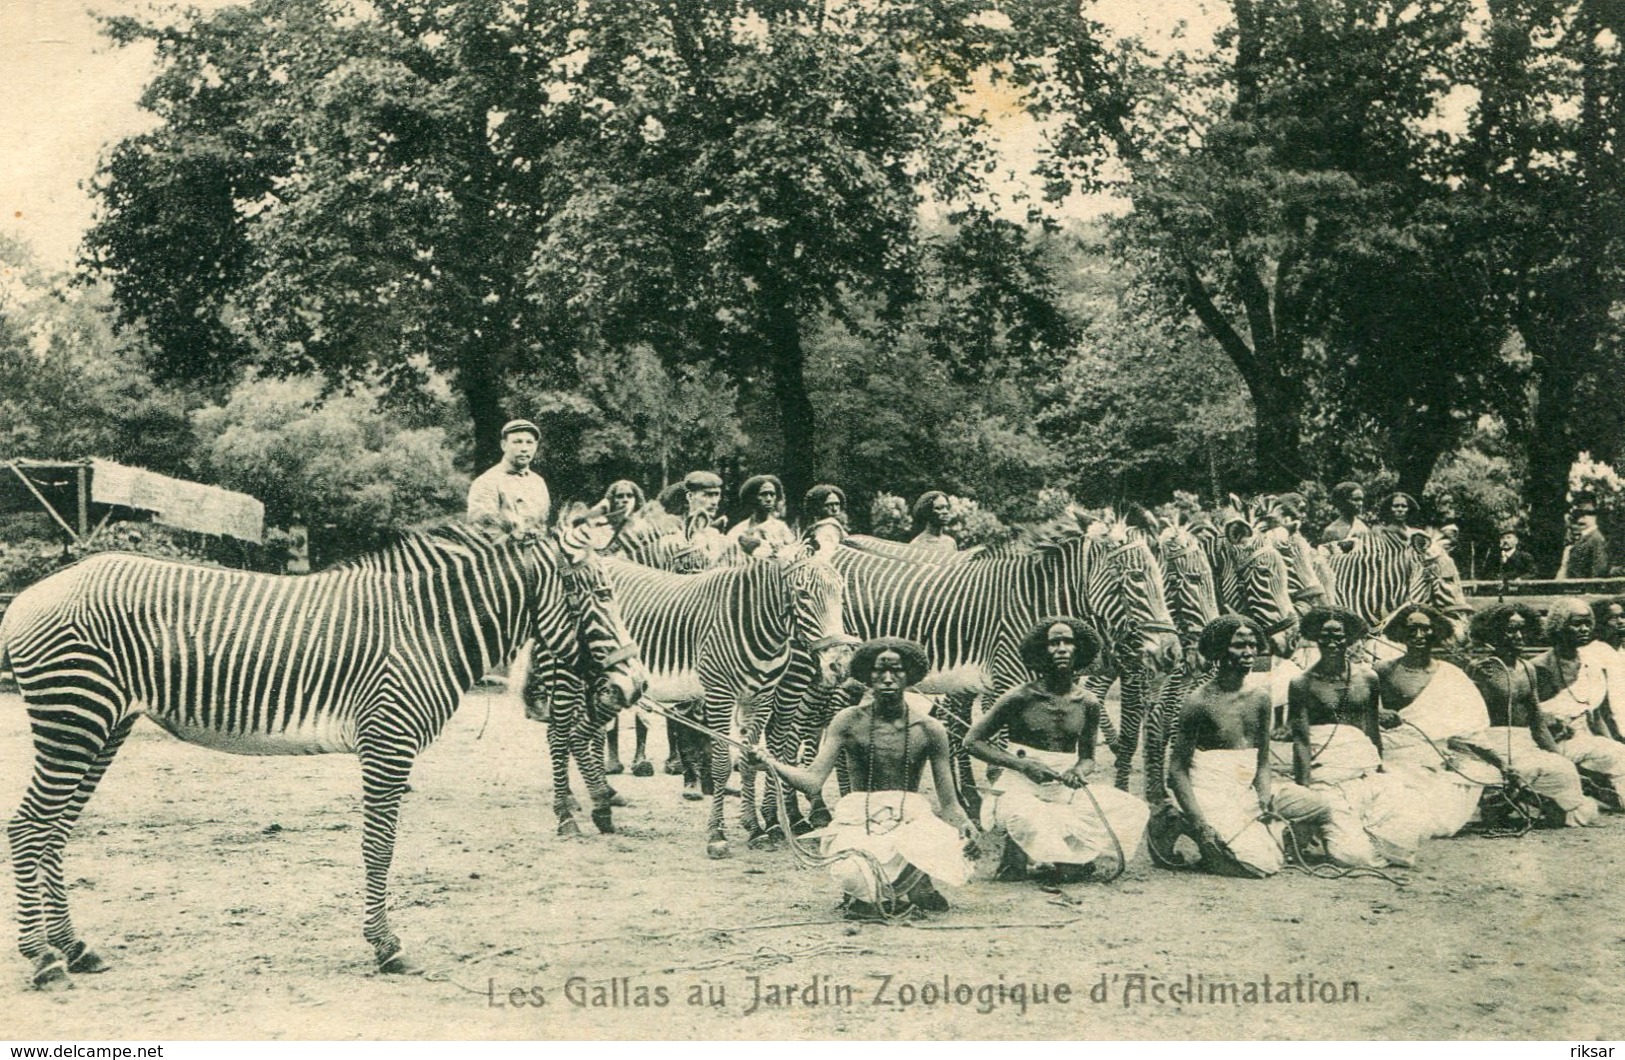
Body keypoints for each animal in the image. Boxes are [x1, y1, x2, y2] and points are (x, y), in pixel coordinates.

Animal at [0, 520, 646, 988]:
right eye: (598, 596)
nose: (636, 687)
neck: (427, 627)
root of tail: (32, 593)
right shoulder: (388, 740)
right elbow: (379, 847)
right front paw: (386, 947)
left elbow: (378, 847)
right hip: (74, 717)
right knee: (28, 826)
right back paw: (42, 959)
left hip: (105, 725)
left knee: (54, 830)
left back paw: (75, 948)